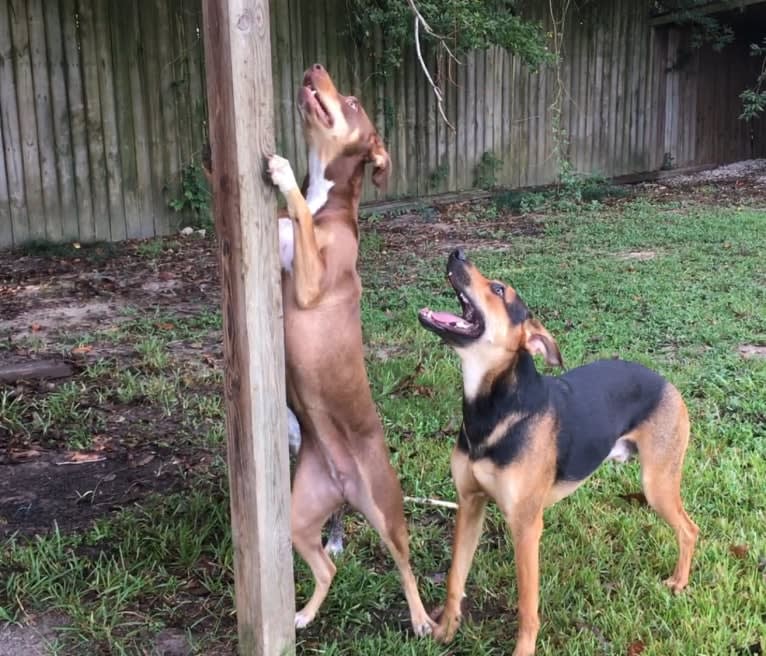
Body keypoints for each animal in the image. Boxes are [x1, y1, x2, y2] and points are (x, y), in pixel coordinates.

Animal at [268, 64, 436, 632]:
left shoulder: (310, 283)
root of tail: (344, 487)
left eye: (353, 101)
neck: (331, 203)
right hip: (300, 517)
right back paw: (302, 615)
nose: (315, 67)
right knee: (326, 568)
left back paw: (422, 620)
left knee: (406, 564)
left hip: (386, 510)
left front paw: (281, 173)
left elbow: (296, 212)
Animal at [420, 249, 704, 652]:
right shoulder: (470, 504)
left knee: (689, 530)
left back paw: (679, 581)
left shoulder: (525, 527)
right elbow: (455, 578)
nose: (457, 252)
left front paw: (523, 650)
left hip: (658, 484)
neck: (492, 410)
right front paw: (445, 630)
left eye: (498, 289)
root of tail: (667, 383)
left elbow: (527, 606)